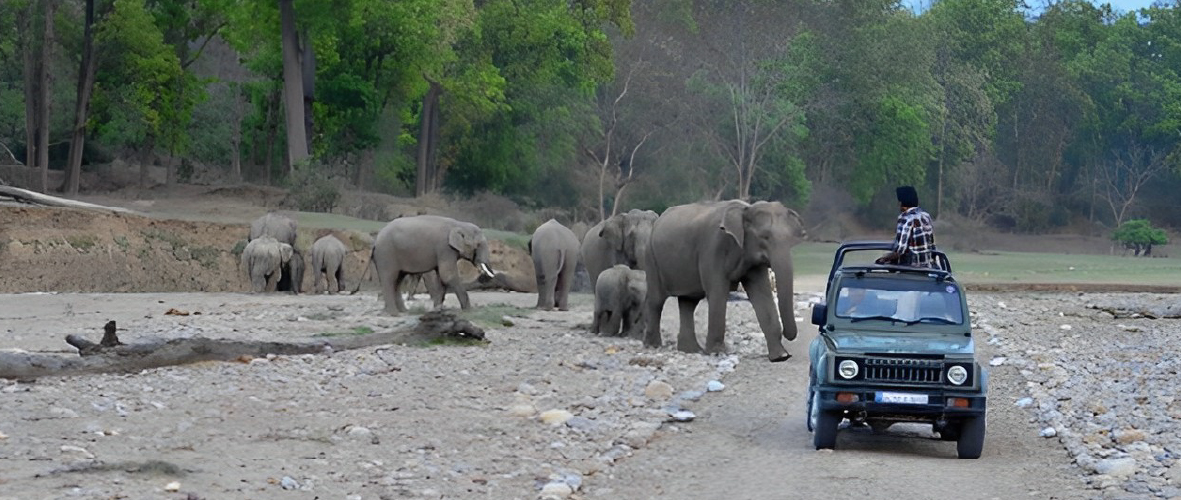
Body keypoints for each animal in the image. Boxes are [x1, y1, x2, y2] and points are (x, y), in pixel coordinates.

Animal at [642, 200, 807, 364]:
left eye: (791, 241)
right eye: (764, 237)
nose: (787, 335)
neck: (746, 209)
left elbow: (761, 293)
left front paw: (780, 356)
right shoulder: (712, 248)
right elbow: (718, 292)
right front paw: (716, 353)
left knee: (688, 302)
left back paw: (691, 350)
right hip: (650, 257)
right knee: (657, 300)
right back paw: (653, 346)